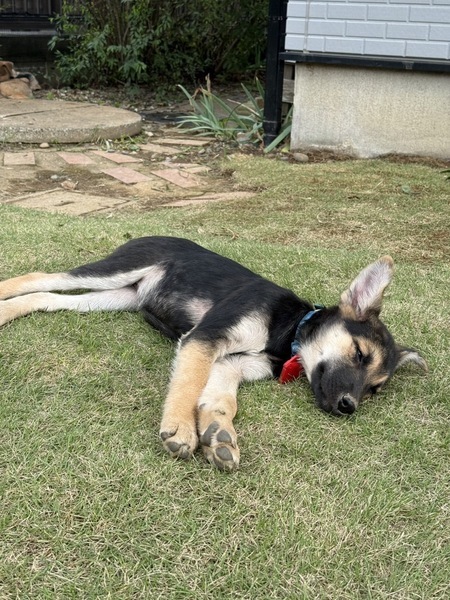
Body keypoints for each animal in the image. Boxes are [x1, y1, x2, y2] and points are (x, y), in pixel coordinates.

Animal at [0, 236, 427, 470]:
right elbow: (189, 383)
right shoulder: (204, 338)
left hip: (117, 297)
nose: (348, 407)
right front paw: (181, 428)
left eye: (375, 389)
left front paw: (219, 435)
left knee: (46, 297)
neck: (287, 332)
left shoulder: (231, 364)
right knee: (41, 278)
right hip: (115, 270)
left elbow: (220, 400)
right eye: (358, 354)